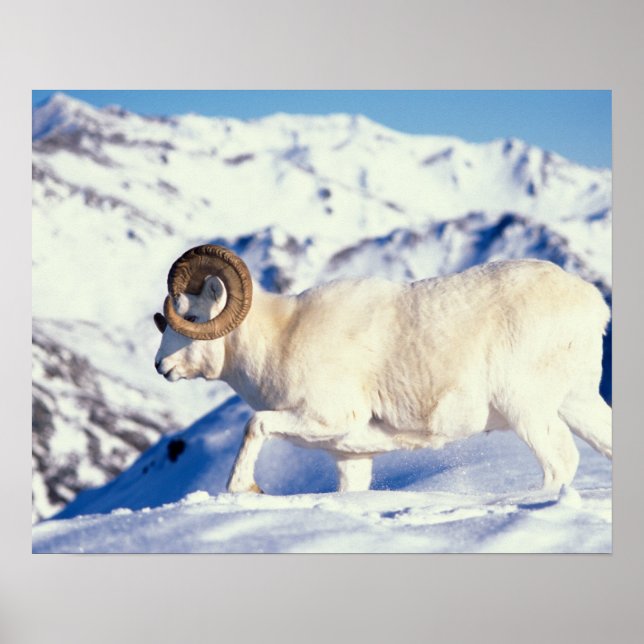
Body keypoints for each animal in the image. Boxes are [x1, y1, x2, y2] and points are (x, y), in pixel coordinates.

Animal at [154, 244, 612, 496]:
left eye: (191, 316)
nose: (161, 366)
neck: (281, 337)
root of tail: (591, 303)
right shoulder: (350, 457)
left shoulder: (324, 417)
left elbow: (255, 425)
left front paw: (244, 489)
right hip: (578, 403)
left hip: (527, 411)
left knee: (560, 462)